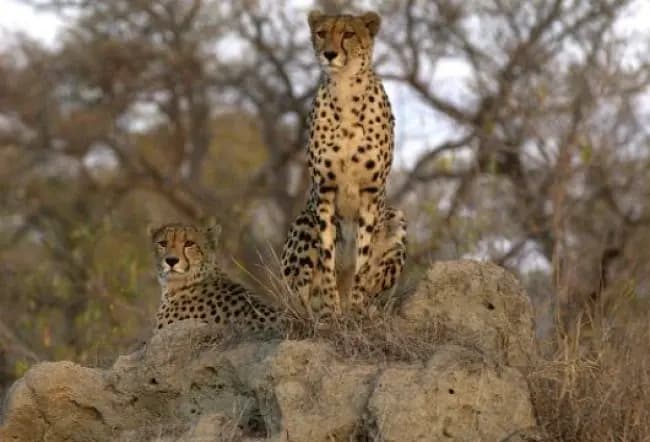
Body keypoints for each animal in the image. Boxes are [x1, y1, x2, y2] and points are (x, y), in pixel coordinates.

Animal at [281, 10, 407, 319]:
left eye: (348, 34)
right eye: (322, 32)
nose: (329, 54)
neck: (346, 90)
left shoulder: (370, 193)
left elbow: (364, 260)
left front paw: (356, 308)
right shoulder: (325, 191)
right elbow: (328, 261)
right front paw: (331, 313)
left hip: (396, 219)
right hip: (305, 224)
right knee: (299, 296)